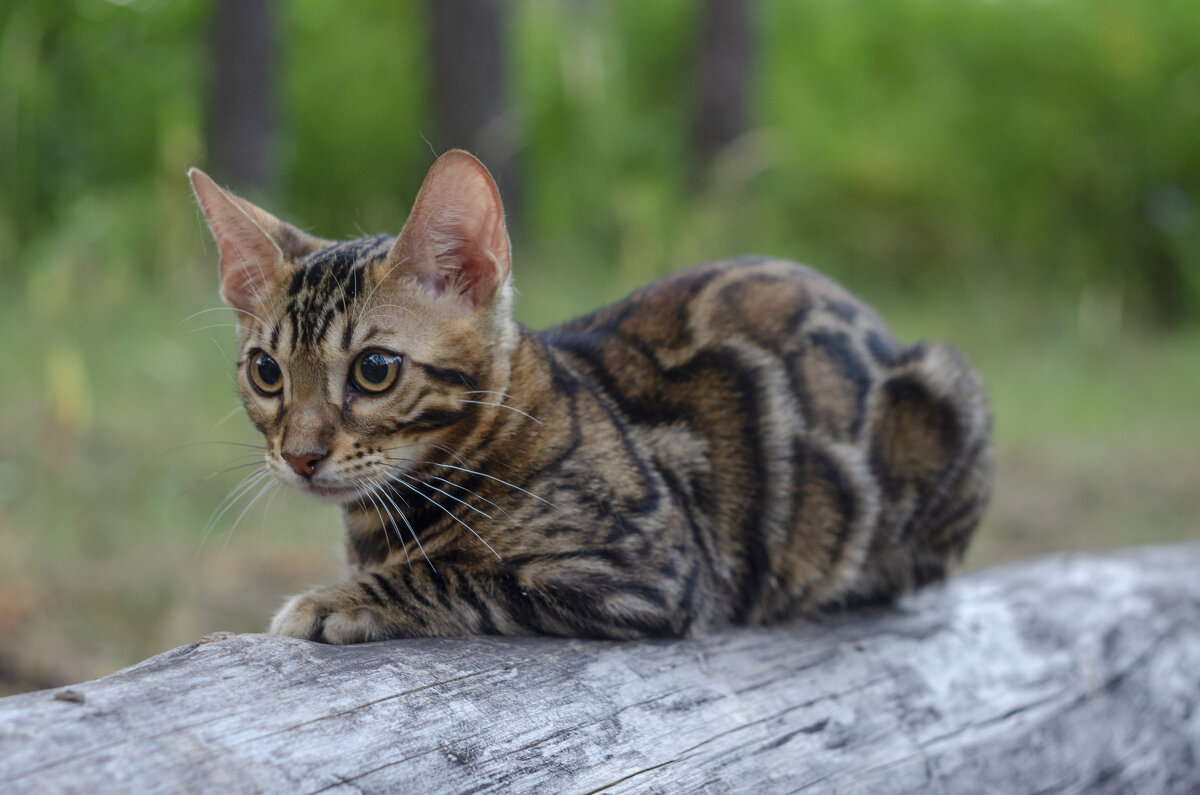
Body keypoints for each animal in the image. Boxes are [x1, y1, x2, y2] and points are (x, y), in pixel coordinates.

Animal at [187, 151, 993, 648]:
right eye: (266, 372)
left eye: (375, 369)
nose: (300, 455)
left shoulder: (652, 568)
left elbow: (459, 571)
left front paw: (334, 601)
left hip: (950, 388)